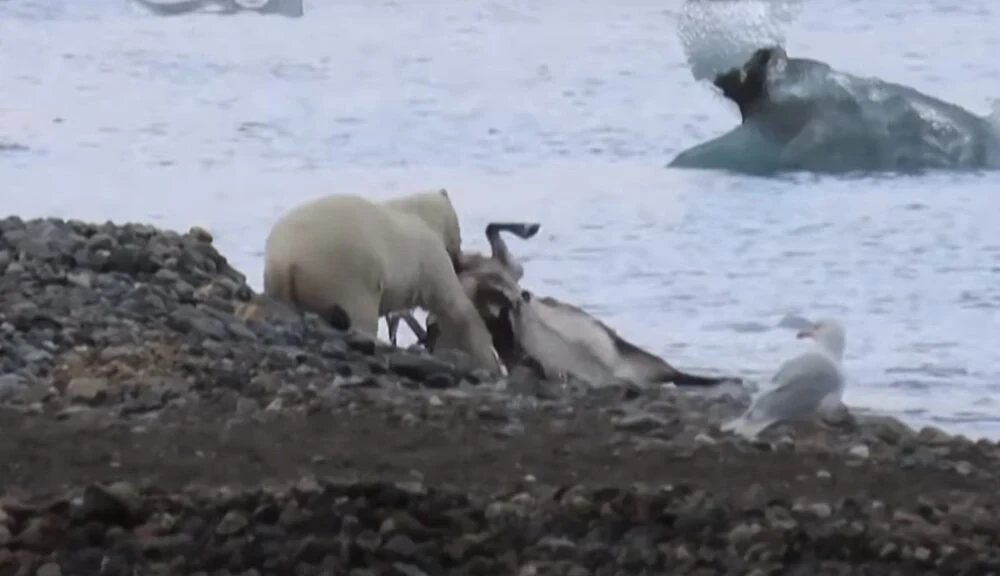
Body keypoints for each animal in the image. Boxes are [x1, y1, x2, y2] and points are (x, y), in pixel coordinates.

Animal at [262, 190, 502, 375]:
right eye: (459, 233)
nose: (460, 257)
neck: (418, 214)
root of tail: (286, 261)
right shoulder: (429, 255)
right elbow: (453, 304)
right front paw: (489, 357)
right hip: (344, 272)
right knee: (361, 316)